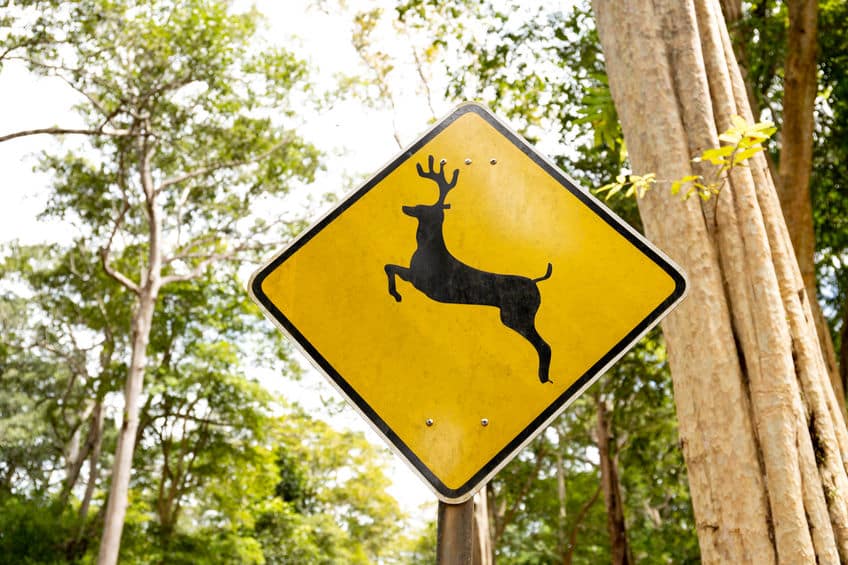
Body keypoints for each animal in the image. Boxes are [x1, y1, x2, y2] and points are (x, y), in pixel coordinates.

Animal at [384, 155, 554, 384]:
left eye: (422, 207)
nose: (405, 207)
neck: (427, 246)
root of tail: (536, 281)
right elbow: (390, 267)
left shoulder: (418, 280)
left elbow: (389, 267)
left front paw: (396, 294)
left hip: (517, 315)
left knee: (544, 345)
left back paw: (544, 379)